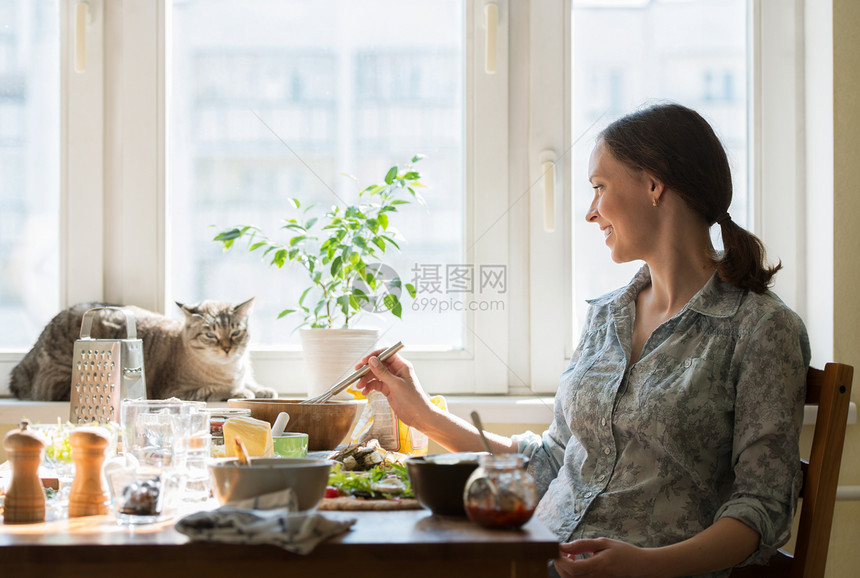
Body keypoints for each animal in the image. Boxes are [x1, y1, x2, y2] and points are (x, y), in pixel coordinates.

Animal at [10, 296, 278, 400]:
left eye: (235, 333)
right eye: (211, 335)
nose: (227, 349)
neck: (232, 367)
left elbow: (254, 385)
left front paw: (263, 391)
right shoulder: (175, 390)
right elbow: (218, 389)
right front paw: (241, 393)